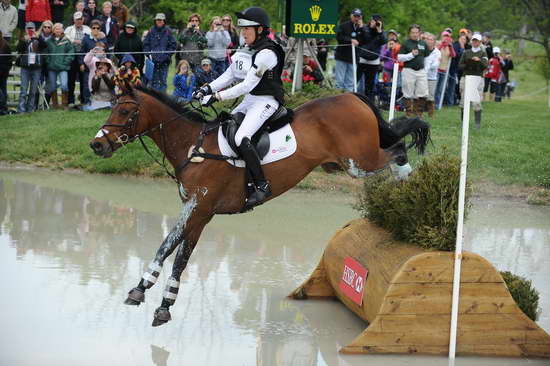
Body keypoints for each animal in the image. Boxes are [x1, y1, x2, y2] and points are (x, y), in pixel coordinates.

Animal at [88, 86, 432, 326]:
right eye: (113, 109)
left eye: (125, 112)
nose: (96, 144)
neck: (192, 147)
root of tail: (352, 96)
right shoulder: (199, 212)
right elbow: (175, 250)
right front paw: (151, 295)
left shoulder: (200, 208)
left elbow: (174, 251)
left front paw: (154, 299)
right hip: (346, 164)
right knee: (396, 149)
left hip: (359, 162)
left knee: (398, 151)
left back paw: (409, 195)